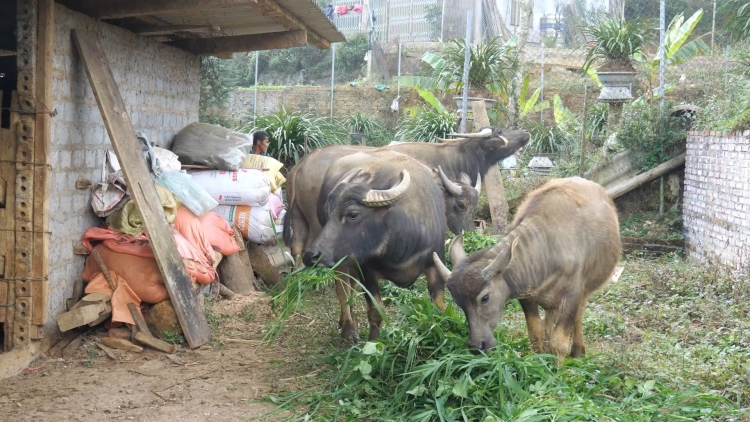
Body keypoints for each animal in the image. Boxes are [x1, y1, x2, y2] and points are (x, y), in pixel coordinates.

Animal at [284, 126, 536, 260]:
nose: (526, 133)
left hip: (298, 215)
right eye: (499, 131)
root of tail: (301, 165)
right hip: (316, 222)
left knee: (296, 247)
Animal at [306, 150, 470, 342]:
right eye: (327, 212)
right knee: (343, 290)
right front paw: (374, 341)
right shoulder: (366, 271)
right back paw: (348, 329)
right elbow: (375, 311)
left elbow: (439, 307)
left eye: (352, 214)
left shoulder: (435, 262)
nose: (310, 256)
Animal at [434, 176, 624, 364]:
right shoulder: (527, 296)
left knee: (578, 315)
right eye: (458, 302)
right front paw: (540, 360)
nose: (477, 345)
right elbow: (535, 333)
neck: (547, 247)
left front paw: (557, 368)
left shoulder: (573, 296)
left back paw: (578, 351)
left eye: (485, 298)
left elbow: (560, 342)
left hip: (587, 290)